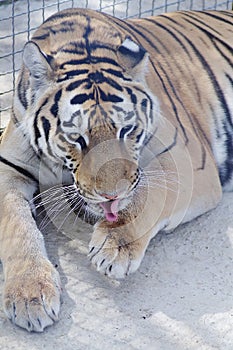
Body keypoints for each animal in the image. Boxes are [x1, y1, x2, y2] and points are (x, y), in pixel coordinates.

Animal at [0, 7, 233, 330]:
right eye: (76, 137)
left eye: (127, 129)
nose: (112, 196)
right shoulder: (9, 168)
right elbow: (16, 226)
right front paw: (29, 293)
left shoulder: (188, 156)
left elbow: (152, 194)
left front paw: (114, 246)